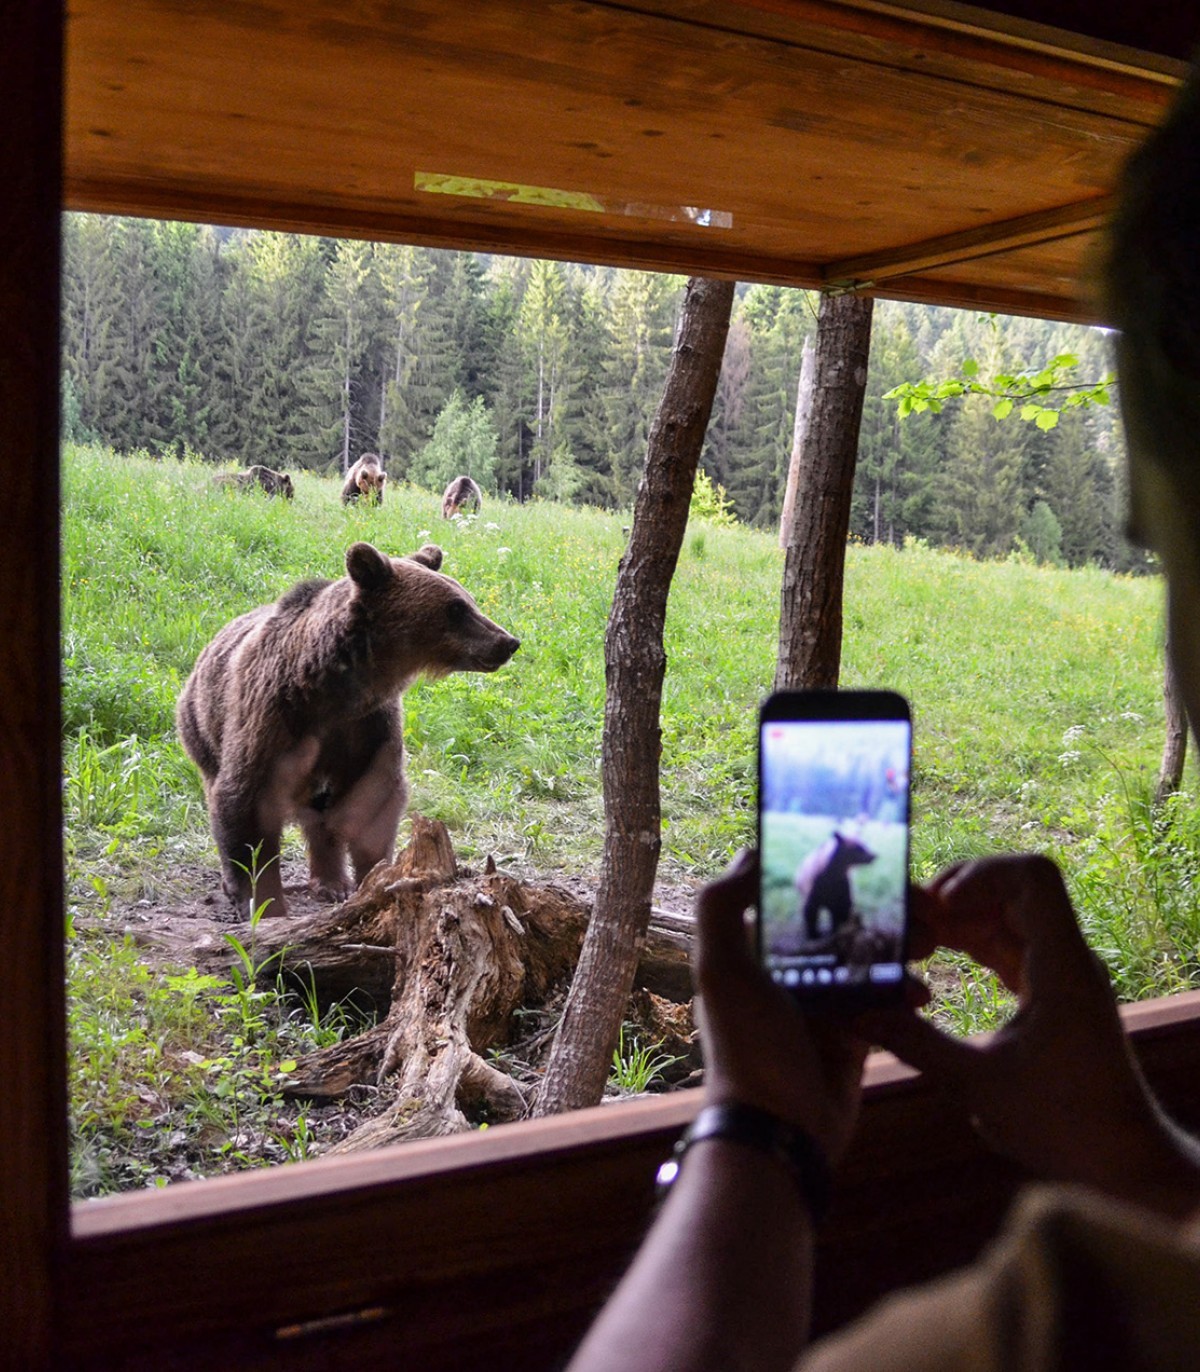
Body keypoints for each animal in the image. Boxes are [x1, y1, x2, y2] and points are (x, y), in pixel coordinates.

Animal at [175, 542, 519, 918]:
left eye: (468, 600)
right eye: (456, 608)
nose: (507, 641)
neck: (337, 690)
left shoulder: (368, 727)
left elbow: (373, 800)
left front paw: (375, 879)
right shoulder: (275, 718)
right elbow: (246, 802)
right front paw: (264, 901)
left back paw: (332, 881)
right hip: (201, 729)